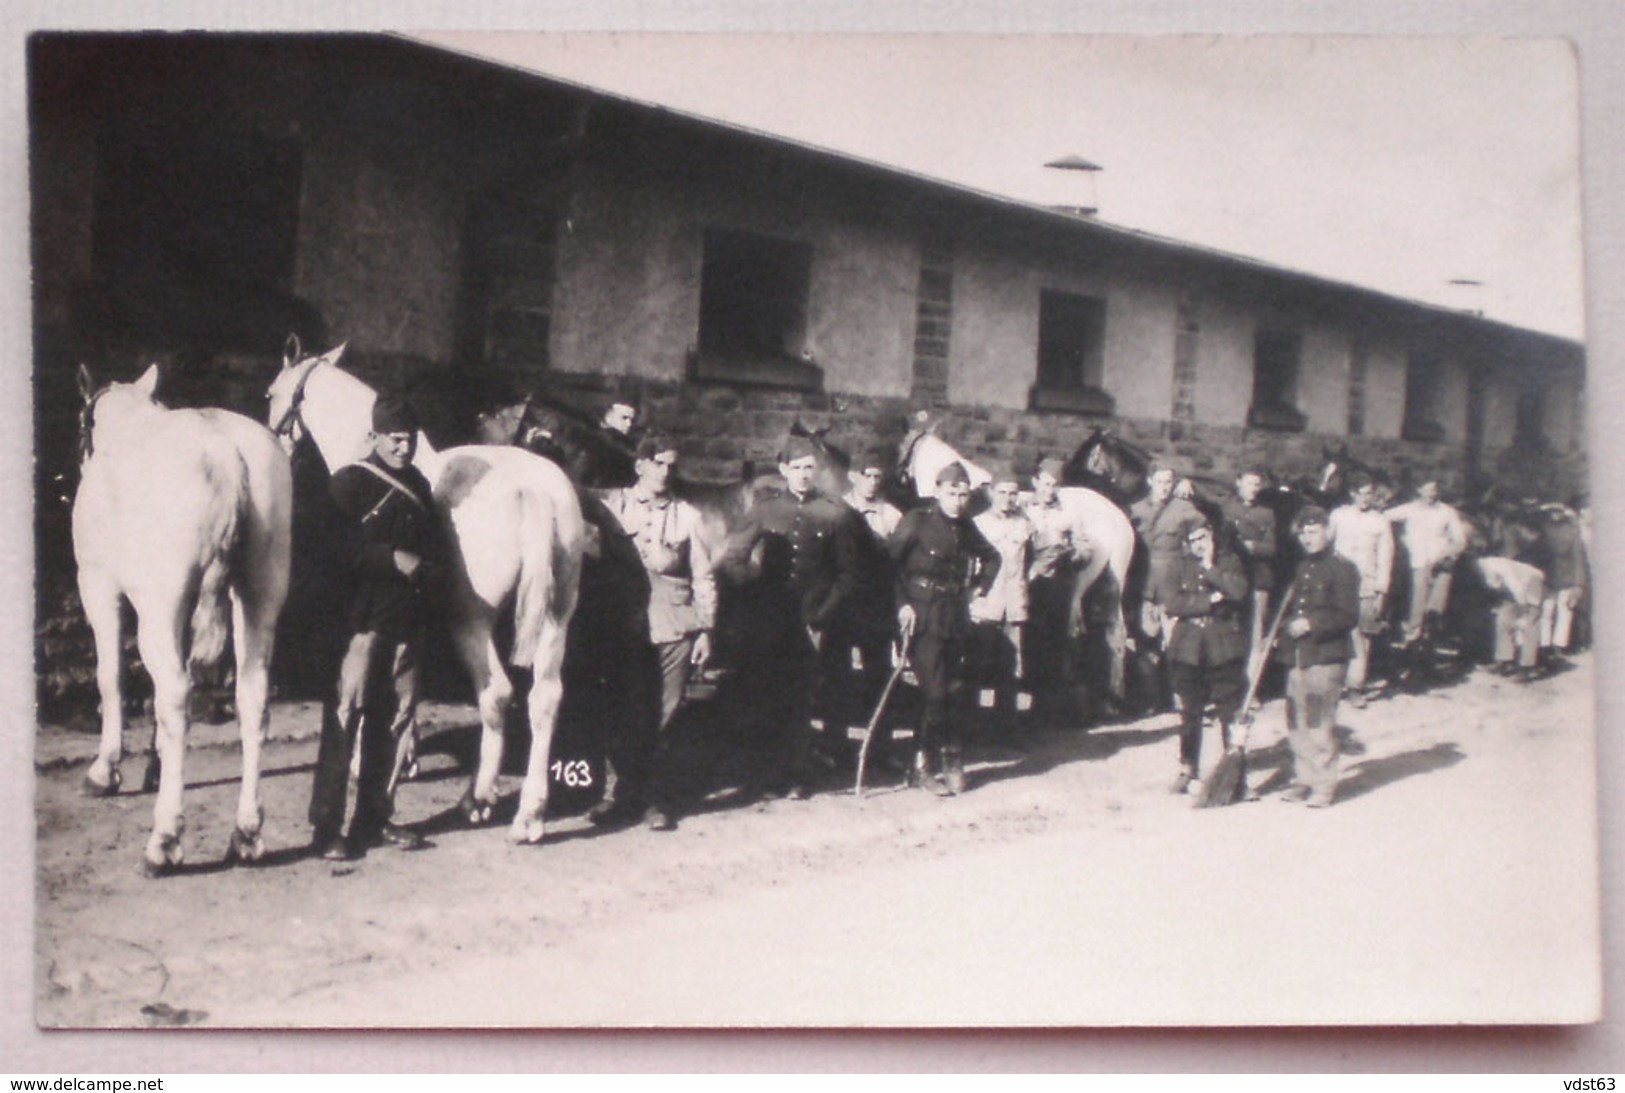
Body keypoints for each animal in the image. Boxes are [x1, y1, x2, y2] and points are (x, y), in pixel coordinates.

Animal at [73, 362, 294, 876]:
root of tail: (228, 454)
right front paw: (153, 768)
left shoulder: (99, 585)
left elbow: (111, 677)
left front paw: (105, 771)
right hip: (258, 595)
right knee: (253, 697)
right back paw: (246, 834)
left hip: (161, 602)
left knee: (174, 694)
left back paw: (164, 840)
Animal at [268, 342, 591, 844]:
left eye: (271, 392)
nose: (275, 445)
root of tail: (533, 491)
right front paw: (407, 758)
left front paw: (367, 764)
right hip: (557, 618)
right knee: (545, 697)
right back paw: (530, 815)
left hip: (472, 623)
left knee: (497, 694)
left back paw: (478, 800)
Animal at [897, 422, 1137, 695]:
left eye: (902, 447)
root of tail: (1115, 517)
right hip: (1109, 585)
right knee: (1114, 633)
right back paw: (1112, 691)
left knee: (1075, 629)